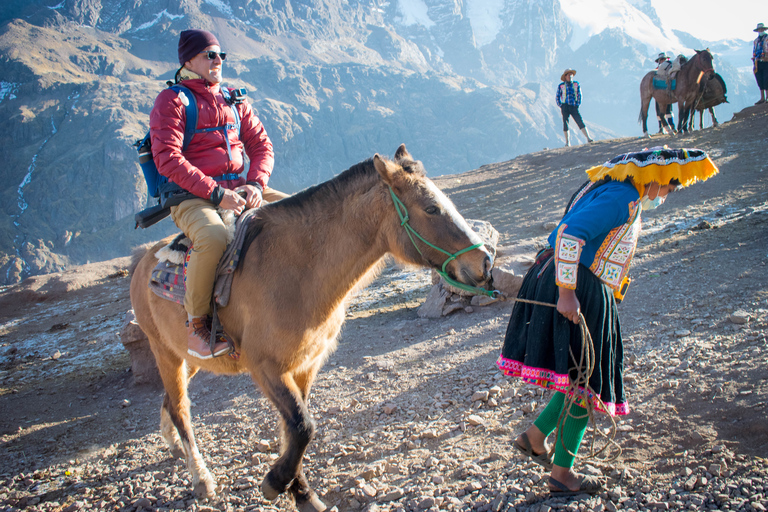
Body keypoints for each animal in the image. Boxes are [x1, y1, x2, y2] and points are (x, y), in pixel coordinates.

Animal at [129, 144, 492, 512]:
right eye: (431, 208)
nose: (485, 262)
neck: (297, 270)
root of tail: (142, 262)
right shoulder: (265, 367)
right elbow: (303, 426)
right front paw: (276, 483)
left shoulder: (305, 365)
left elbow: (294, 428)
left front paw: (302, 493)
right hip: (165, 352)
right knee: (181, 409)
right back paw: (201, 478)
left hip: (188, 356)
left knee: (171, 401)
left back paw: (173, 445)